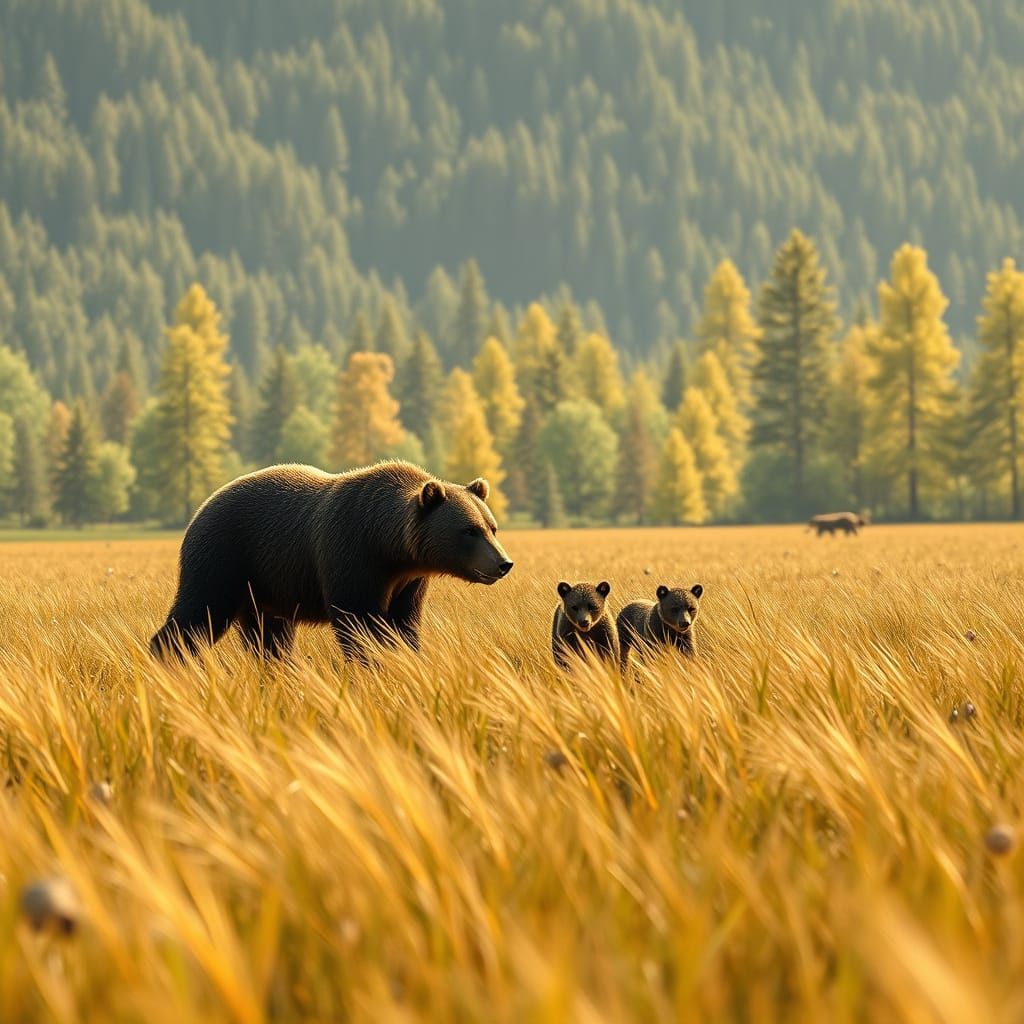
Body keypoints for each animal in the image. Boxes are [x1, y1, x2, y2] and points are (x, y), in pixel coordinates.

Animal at [149, 461, 513, 661]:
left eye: (492, 526)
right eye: (469, 530)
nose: (503, 563)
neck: (389, 547)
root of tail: (201, 509)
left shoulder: (408, 582)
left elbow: (404, 625)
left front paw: (406, 659)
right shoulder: (351, 554)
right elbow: (358, 622)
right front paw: (370, 665)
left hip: (266, 586)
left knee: (269, 636)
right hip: (224, 555)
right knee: (200, 612)